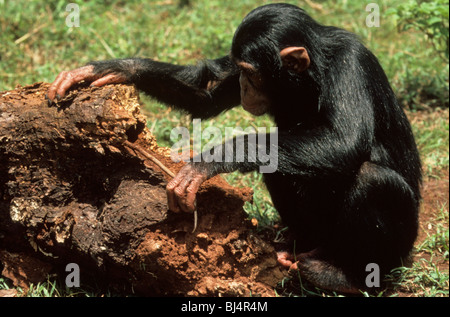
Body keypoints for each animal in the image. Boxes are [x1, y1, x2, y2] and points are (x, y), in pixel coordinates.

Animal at [47, 3, 420, 292]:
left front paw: (209, 161)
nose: (241, 84)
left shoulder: (349, 63)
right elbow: (206, 93)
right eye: (238, 70)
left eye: (250, 73)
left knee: (372, 178)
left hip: (401, 248)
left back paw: (343, 275)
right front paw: (117, 68)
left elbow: (345, 140)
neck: (310, 75)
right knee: (280, 167)